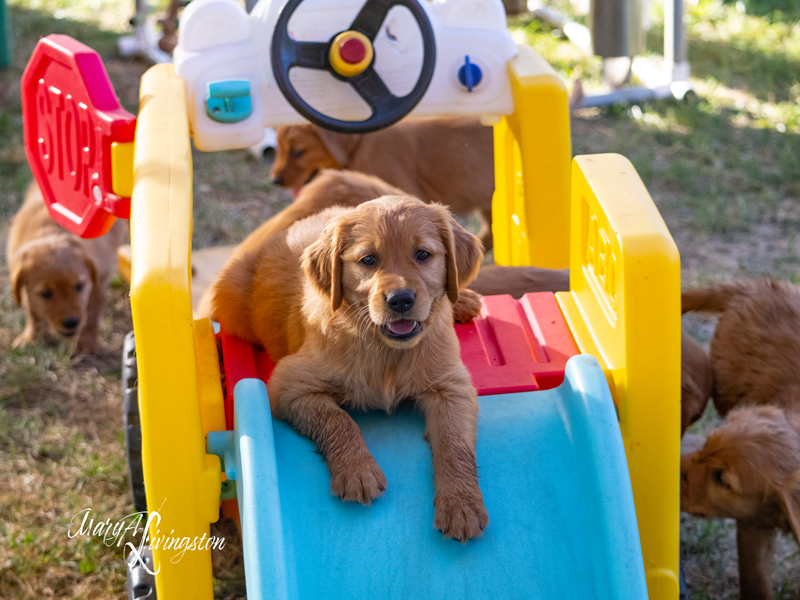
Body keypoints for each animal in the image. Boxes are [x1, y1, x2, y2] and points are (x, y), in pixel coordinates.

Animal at [6, 180, 125, 354]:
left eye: (80, 286)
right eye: (46, 293)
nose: (71, 322)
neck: (52, 232)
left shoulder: (99, 280)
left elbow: (92, 315)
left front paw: (87, 345)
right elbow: (32, 311)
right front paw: (31, 338)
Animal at [206, 198, 488, 544]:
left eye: (423, 254)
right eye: (368, 260)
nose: (401, 299)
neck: (386, 349)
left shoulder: (451, 386)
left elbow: (455, 443)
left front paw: (462, 503)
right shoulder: (288, 384)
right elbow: (338, 420)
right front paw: (357, 470)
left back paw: (464, 300)